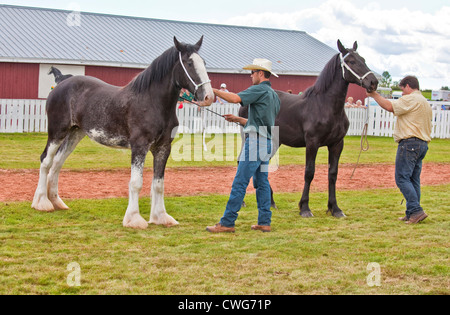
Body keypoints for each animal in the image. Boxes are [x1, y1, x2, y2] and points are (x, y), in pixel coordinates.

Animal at [32, 36, 214, 230]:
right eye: (189, 63)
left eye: (204, 62)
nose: (209, 96)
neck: (152, 102)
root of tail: (61, 82)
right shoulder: (139, 146)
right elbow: (136, 183)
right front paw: (134, 219)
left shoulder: (163, 148)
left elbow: (158, 184)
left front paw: (160, 217)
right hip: (57, 132)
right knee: (46, 161)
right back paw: (42, 203)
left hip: (75, 134)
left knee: (57, 163)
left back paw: (56, 202)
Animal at [239, 40, 376, 218]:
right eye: (351, 61)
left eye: (363, 59)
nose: (373, 82)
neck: (325, 106)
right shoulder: (312, 143)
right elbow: (309, 173)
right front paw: (304, 208)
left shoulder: (337, 144)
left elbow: (333, 174)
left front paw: (335, 208)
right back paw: (243, 202)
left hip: (274, 142)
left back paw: (271, 202)